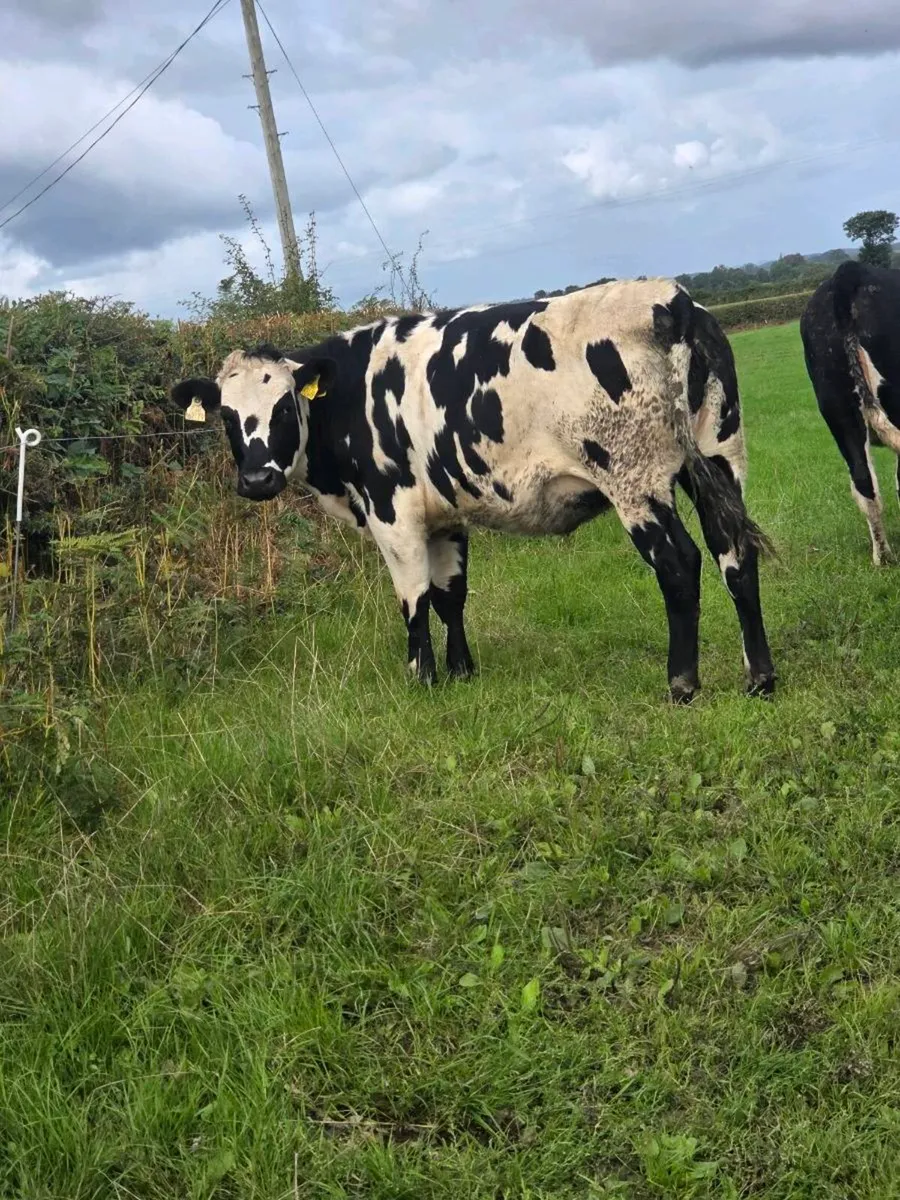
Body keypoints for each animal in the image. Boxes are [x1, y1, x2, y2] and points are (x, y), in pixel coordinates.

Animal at [171, 278, 776, 702]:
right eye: (227, 416)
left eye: (282, 405)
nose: (256, 480)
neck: (351, 393)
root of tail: (668, 299)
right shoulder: (445, 511)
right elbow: (450, 594)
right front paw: (461, 671)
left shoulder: (392, 511)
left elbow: (414, 597)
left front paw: (422, 678)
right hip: (719, 457)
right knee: (734, 553)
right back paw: (760, 678)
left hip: (635, 480)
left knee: (679, 564)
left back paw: (682, 684)